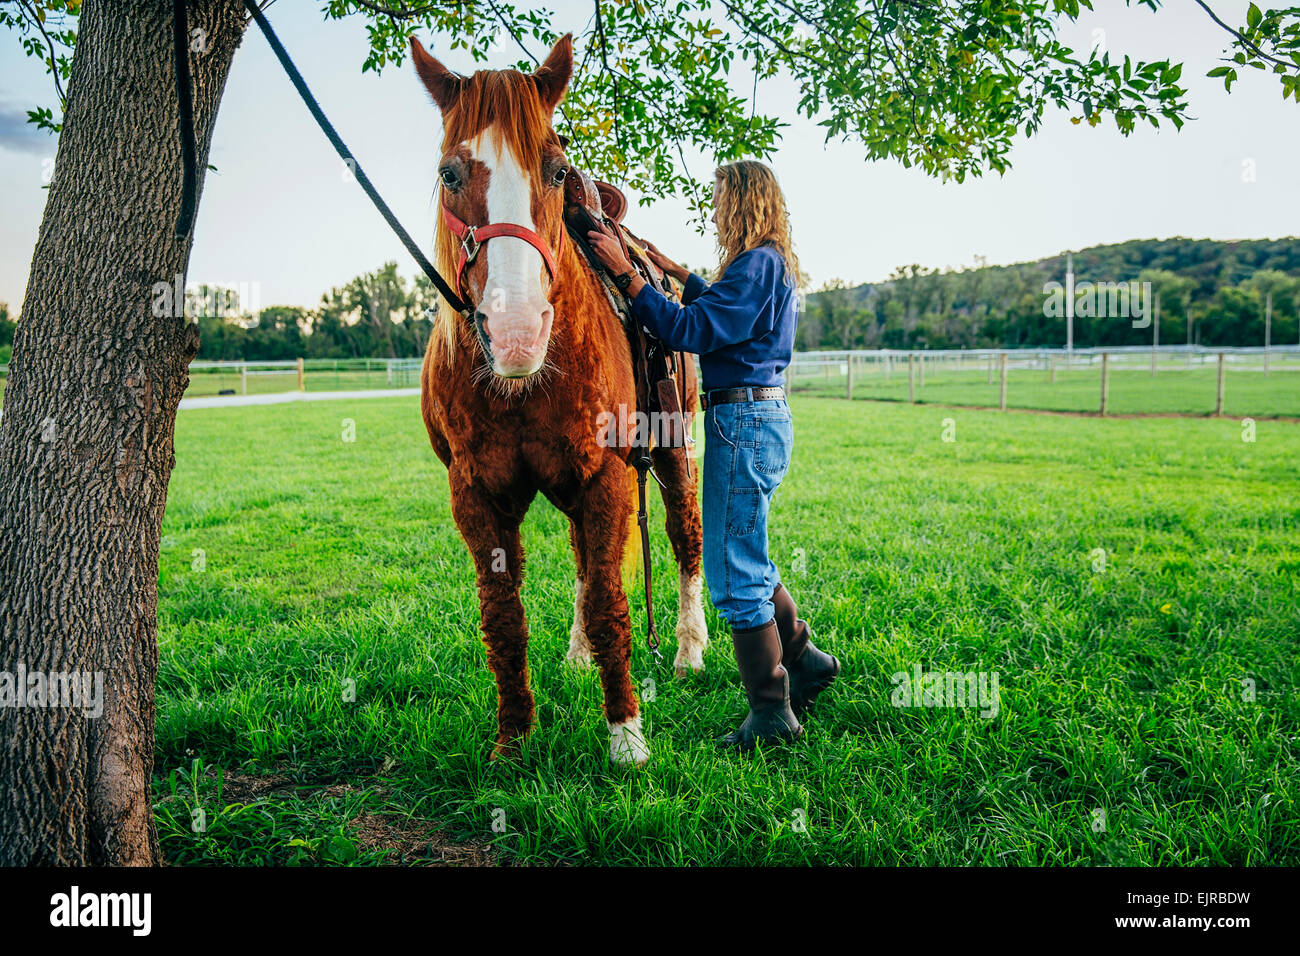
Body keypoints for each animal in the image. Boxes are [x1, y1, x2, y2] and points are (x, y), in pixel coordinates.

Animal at [411, 33, 707, 765]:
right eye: (450, 174)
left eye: (554, 170)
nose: (516, 329)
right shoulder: (476, 493)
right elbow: (504, 615)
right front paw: (514, 736)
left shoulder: (606, 477)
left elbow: (608, 603)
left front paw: (626, 736)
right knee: (580, 558)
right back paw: (578, 655)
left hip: (672, 449)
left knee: (684, 536)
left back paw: (690, 650)